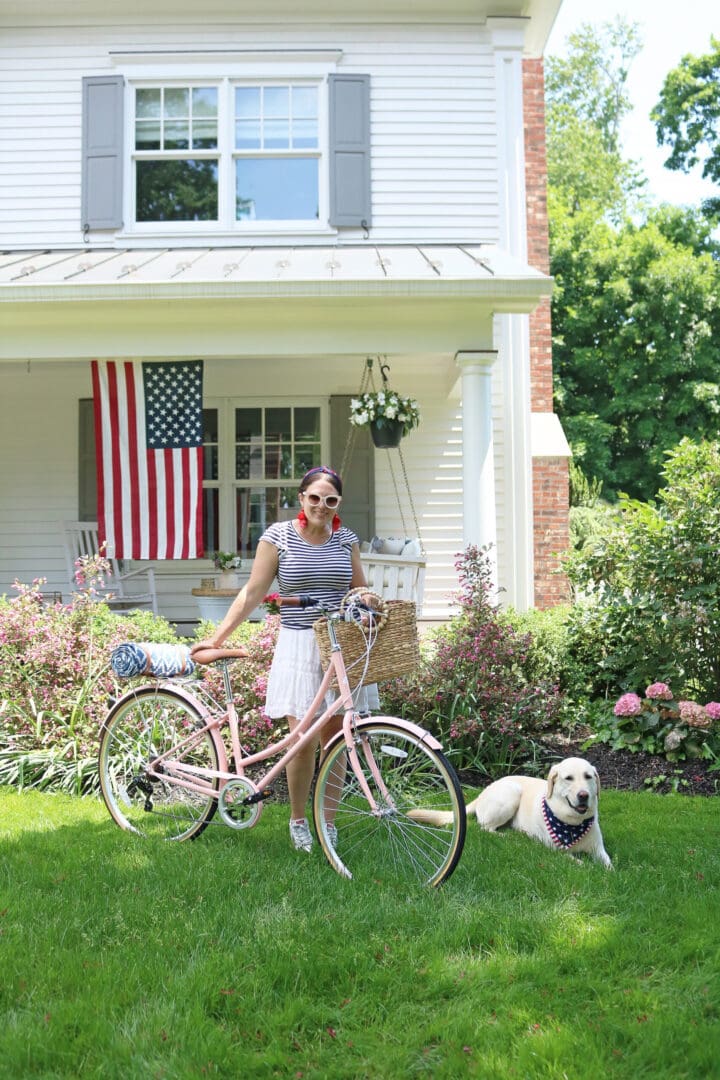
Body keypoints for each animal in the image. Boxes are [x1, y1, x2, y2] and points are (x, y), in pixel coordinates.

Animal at [414, 760, 613, 868]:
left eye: (588, 776)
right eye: (568, 778)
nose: (583, 795)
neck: (572, 823)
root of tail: (483, 792)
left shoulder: (599, 849)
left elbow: (608, 864)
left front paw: (608, 872)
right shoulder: (555, 850)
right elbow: (577, 861)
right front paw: (587, 866)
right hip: (512, 792)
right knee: (485, 827)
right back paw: (507, 836)